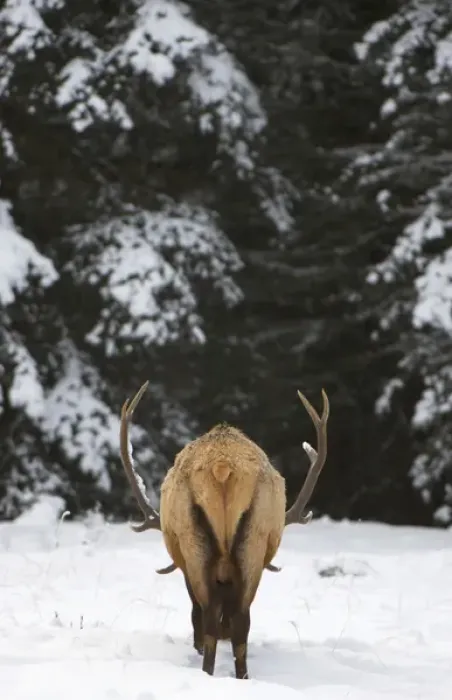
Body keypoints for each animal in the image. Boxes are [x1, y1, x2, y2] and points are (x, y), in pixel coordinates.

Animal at [119, 381, 329, 679]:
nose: (224, 634)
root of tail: (223, 467)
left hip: (200, 543)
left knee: (213, 618)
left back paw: (211, 669)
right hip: (252, 543)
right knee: (237, 619)